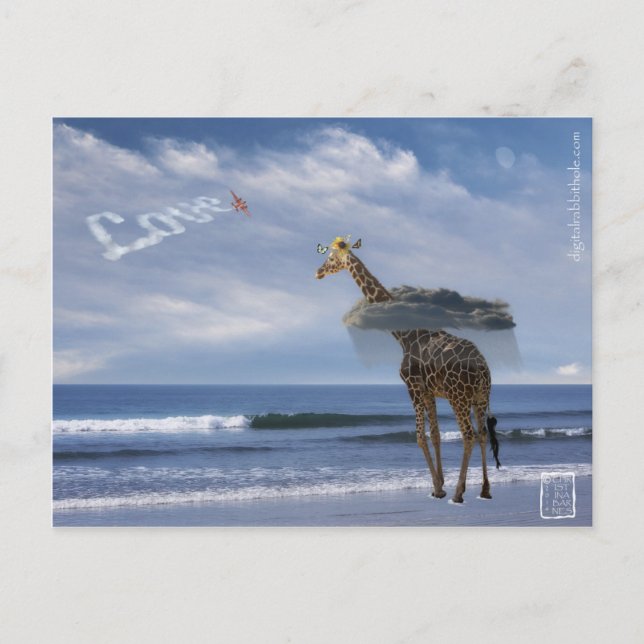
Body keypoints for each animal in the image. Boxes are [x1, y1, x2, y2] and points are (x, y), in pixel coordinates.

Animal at [315, 237, 500, 503]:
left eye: (330, 258)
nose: (318, 272)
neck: (403, 334)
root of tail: (484, 369)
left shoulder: (413, 387)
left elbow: (419, 436)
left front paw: (439, 488)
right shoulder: (429, 392)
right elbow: (435, 435)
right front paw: (439, 485)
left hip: (459, 398)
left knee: (468, 435)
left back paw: (459, 493)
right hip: (480, 397)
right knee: (483, 434)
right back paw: (484, 490)